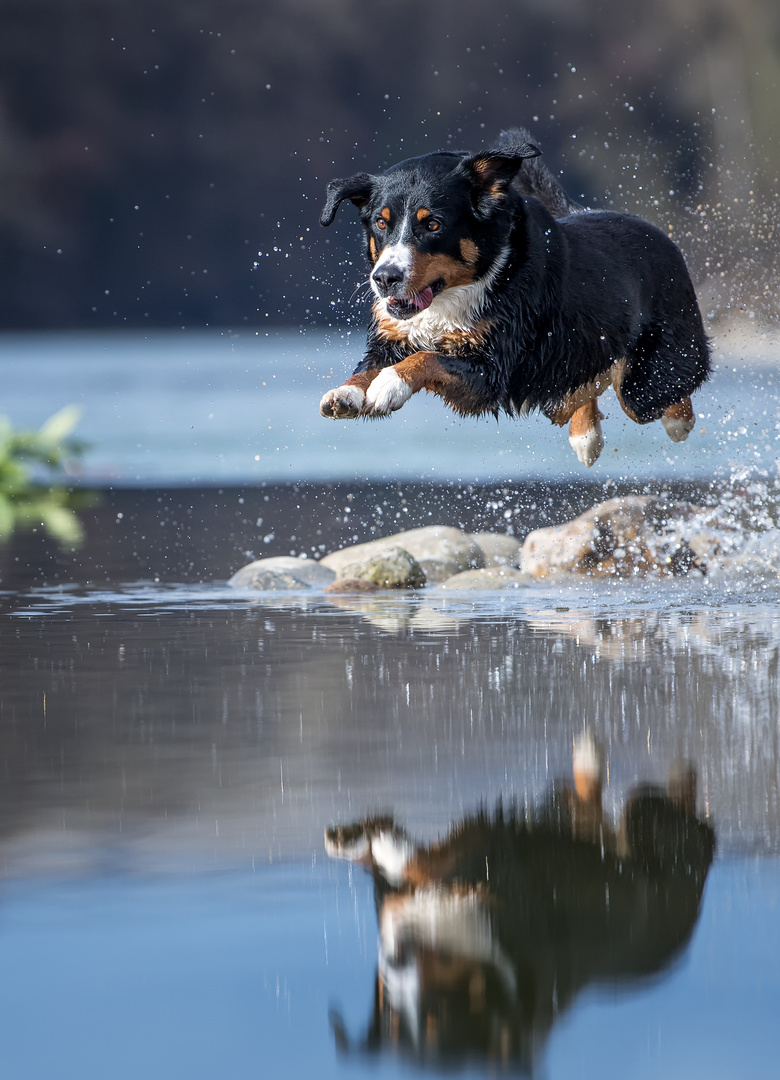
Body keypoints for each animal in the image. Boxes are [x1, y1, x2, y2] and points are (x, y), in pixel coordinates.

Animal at [317, 128, 713, 466]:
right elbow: (369, 367)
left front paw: (390, 384)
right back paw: (585, 436)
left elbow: (427, 359)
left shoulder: (491, 367)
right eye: (381, 223)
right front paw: (345, 393)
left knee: (659, 391)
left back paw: (677, 423)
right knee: (579, 387)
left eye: (432, 224)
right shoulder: (392, 337)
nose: (384, 278)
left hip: (646, 382)